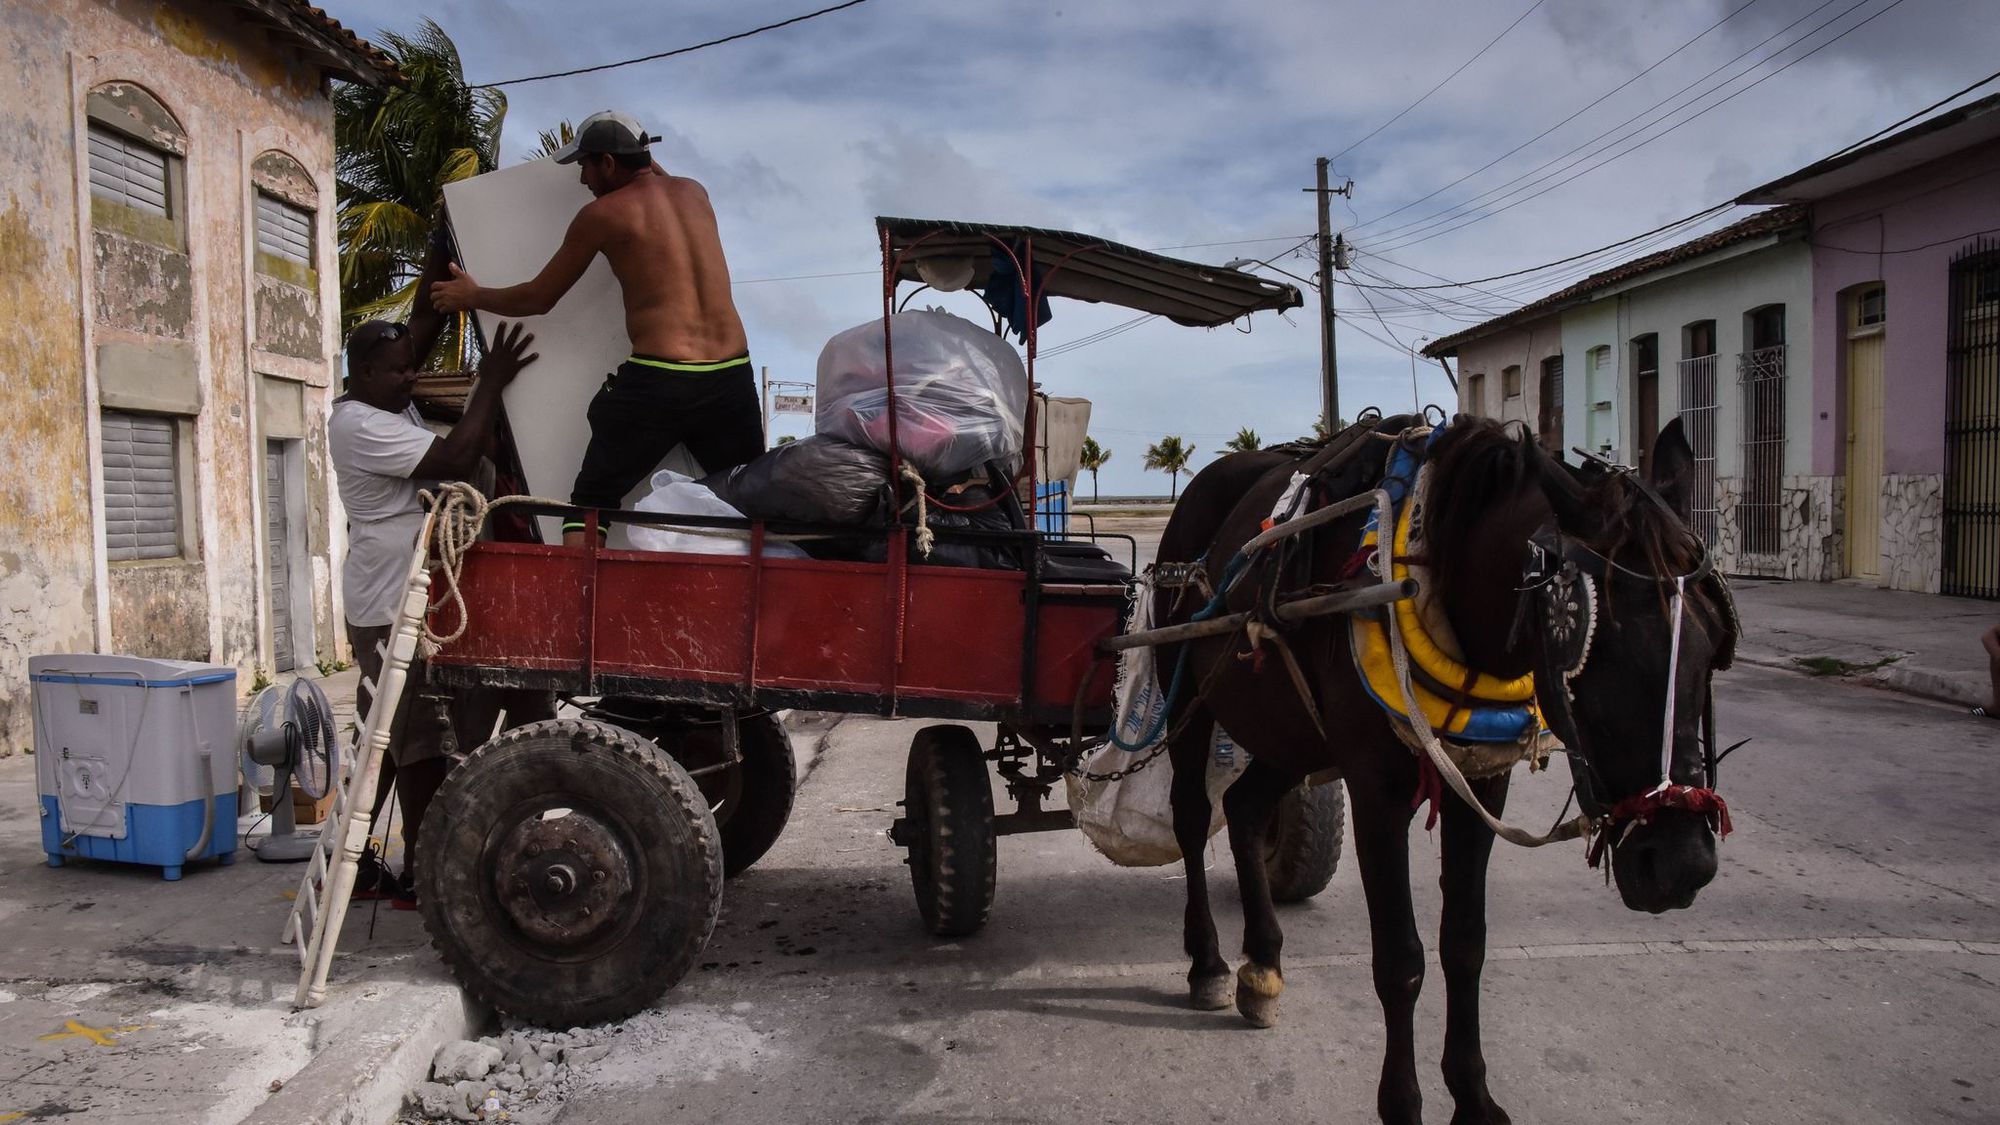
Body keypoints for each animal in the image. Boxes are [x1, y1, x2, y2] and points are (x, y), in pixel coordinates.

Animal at [1160, 416, 1736, 1112]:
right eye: (1597, 649)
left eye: (1714, 645)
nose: (1681, 864)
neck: (1431, 568)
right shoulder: (1376, 791)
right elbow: (1400, 961)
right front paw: (1403, 1103)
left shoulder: (1484, 784)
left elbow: (1465, 943)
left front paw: (1473, 1097)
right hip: (1185, 691)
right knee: (1193, 817)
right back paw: (1210, 963)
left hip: (1290, 732)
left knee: (1244, 808)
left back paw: (1263, 964)